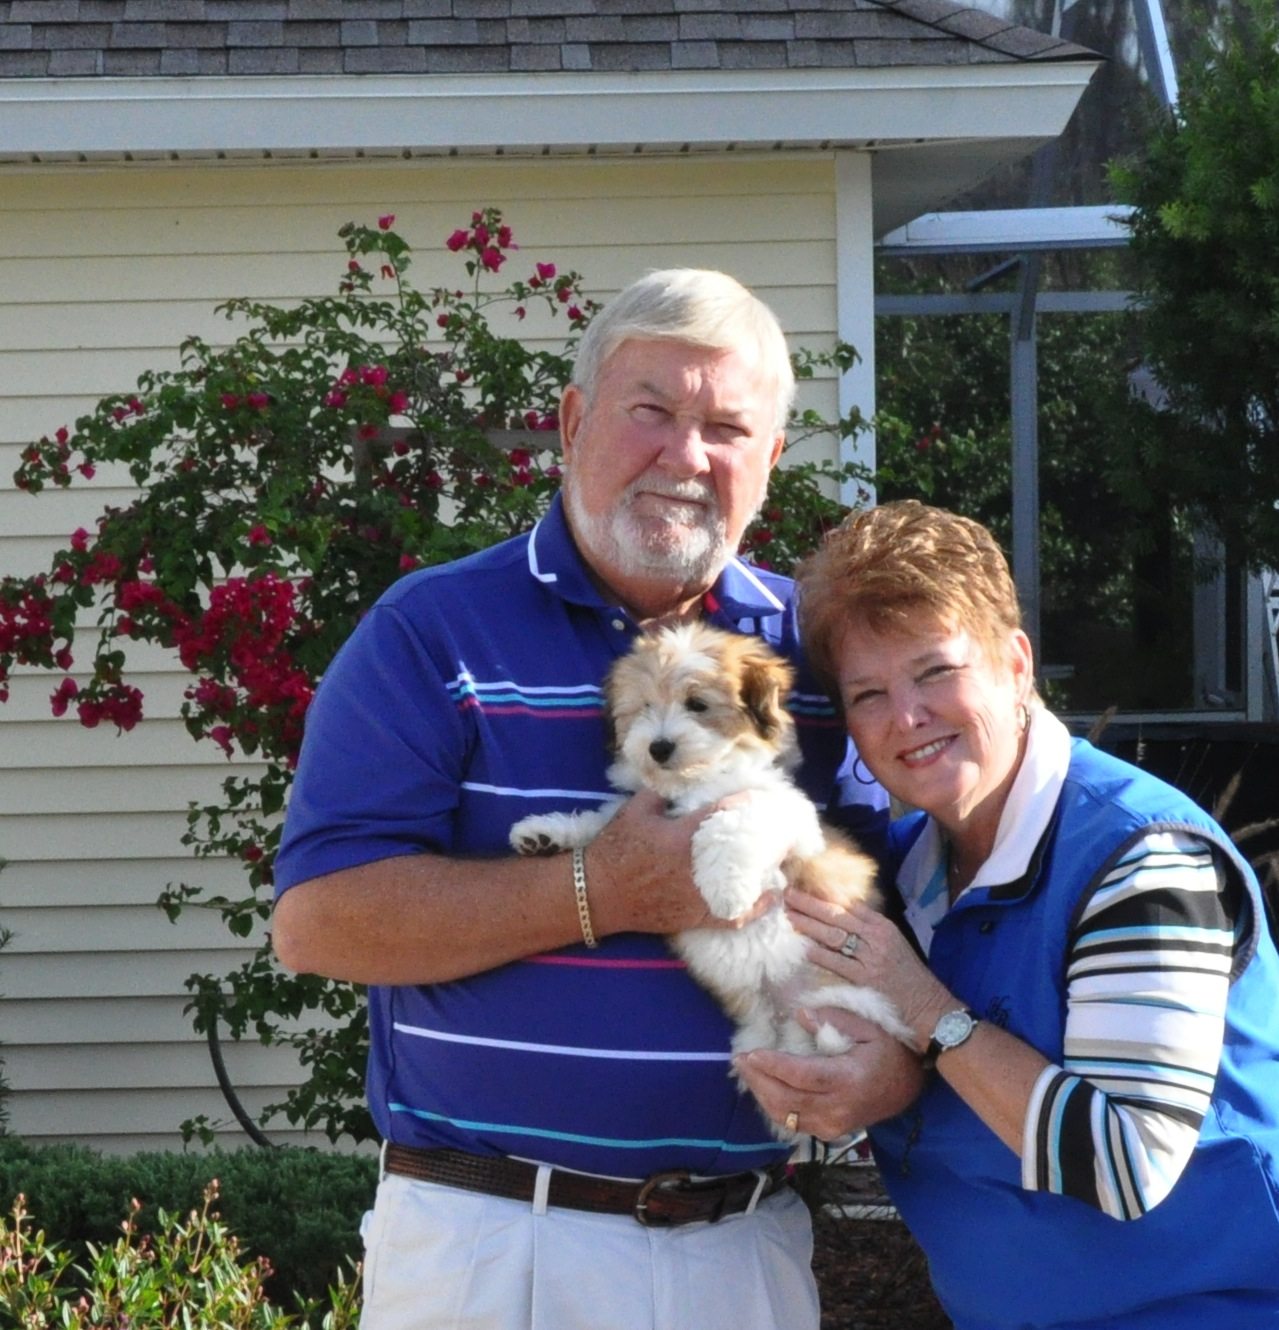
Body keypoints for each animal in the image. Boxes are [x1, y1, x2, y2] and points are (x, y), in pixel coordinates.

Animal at [507, 622, 909, 1143]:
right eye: (645, 707)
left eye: (697, 704)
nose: (659, 747)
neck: (692, 784)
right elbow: (603, 820)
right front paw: (547, 833)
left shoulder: (788, 817)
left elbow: (733, 818)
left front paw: (727, 891)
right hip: (760, 1038)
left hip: (845, 1004)